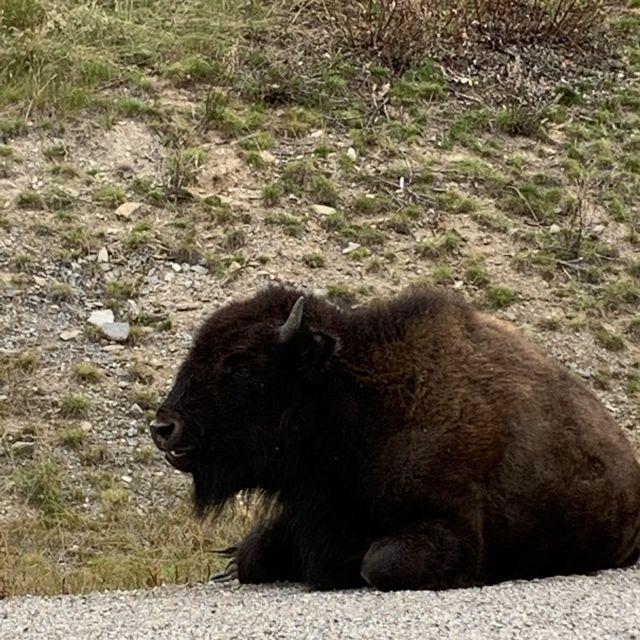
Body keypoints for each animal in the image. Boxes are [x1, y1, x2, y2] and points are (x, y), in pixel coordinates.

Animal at [151, 284, 640, 592]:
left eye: (242, 366)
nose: (163, 427)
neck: (359, 408)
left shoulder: (446, 525)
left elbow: (379, 564)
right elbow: (253, 555)